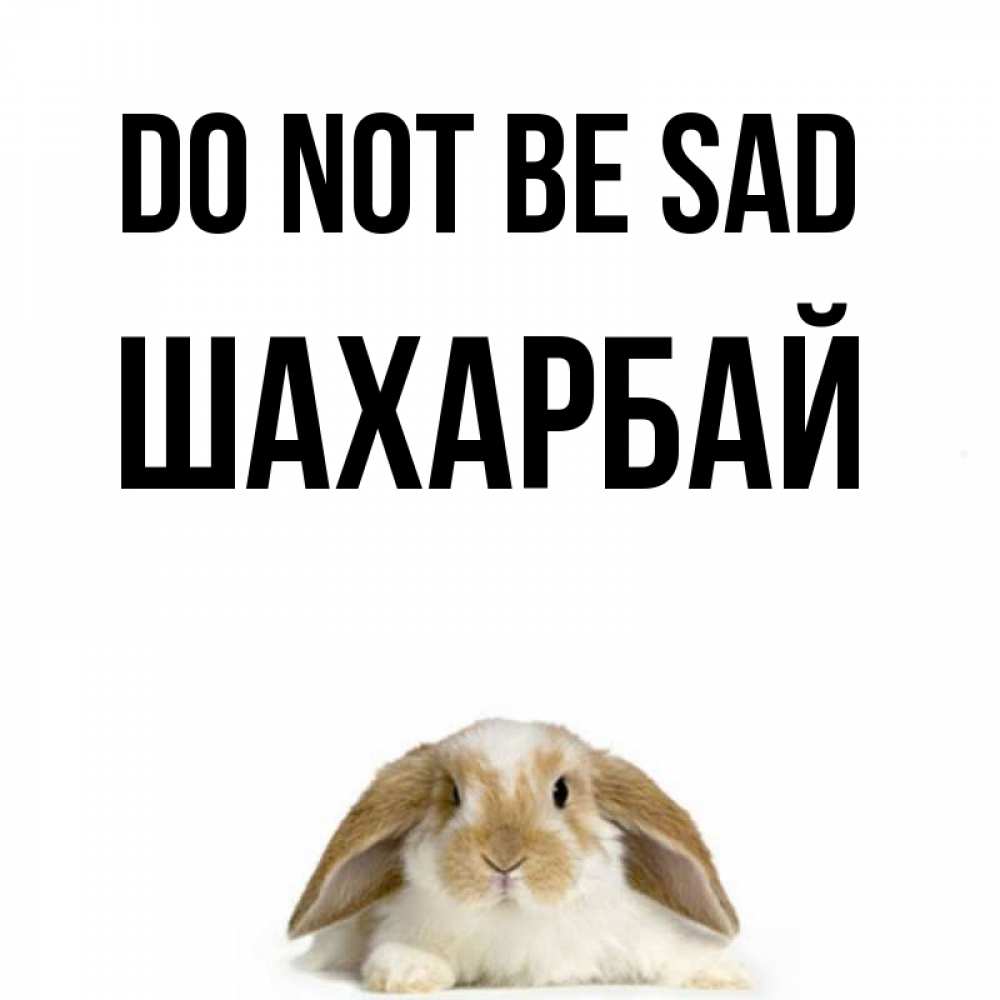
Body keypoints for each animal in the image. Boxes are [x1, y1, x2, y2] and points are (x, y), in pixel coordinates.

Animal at [288, 719, 750, 991]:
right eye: (453, 795)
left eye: (561, 791)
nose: (504, 859)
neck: (514, 918)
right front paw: (410, 973)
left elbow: (674, 950)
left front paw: (725, 973)